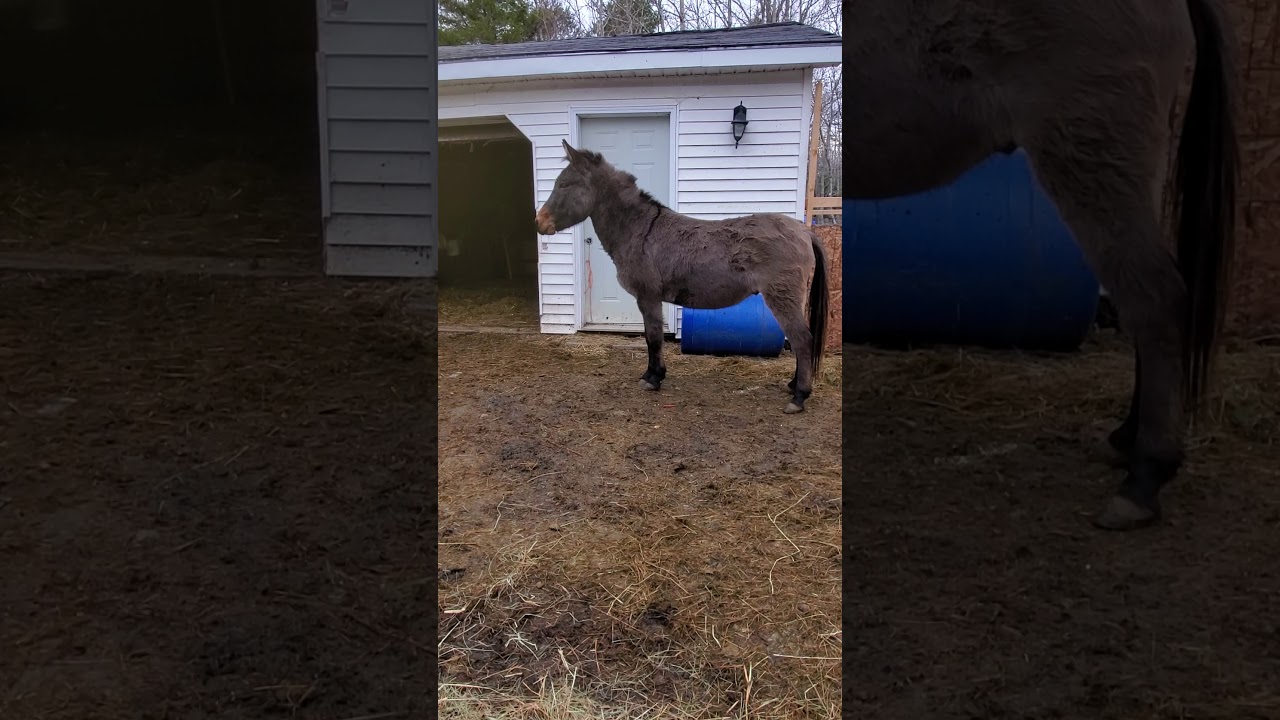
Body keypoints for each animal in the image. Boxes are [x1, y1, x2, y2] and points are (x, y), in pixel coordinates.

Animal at [535, 140, 830, 414]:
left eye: (564, 185)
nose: (538, 222)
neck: (638, 229)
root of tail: (804, 230)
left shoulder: (648, 296)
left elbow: (653, 337)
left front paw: (653, 379)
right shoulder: (649, 298)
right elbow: (649, 335)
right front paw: (652, 374)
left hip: (782, 296)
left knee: (802, 340)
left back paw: (799, 396)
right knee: (800, 340)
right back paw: (792, 385)